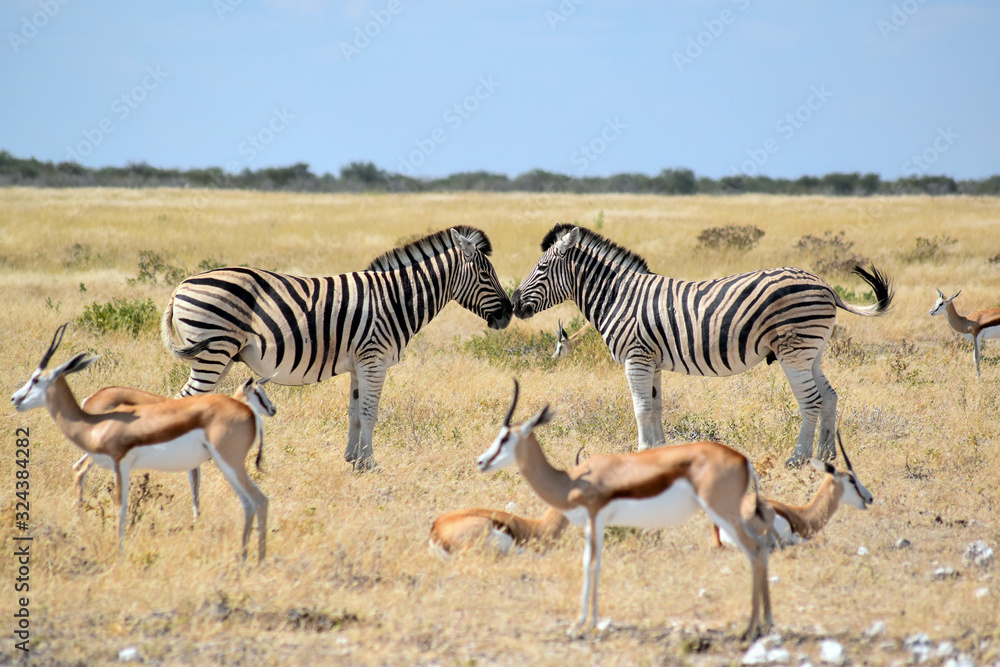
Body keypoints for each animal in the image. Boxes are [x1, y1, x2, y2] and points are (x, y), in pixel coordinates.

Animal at [162, 226, 513, 470]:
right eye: (486, 274)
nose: (509, 313)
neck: (398, 299)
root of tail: (180, 286)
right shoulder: (374, 360)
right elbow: (370, 413)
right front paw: (371, 464)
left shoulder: (360, 364)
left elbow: (355, 413)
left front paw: (354, 460)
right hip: (212, 353)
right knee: (182, 402)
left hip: (221, 358)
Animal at [510, 224, 893, 467]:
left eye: (542, 268)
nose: (513, 305)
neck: (619, 296)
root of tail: (825, 285)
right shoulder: (651, 361)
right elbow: (656, 407)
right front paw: (658, 453)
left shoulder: (636, 358)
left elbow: (641, 408)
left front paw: (641, 452)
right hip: (813, 351)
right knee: (830, 397)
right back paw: (826, 457)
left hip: (794, 350)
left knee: (811, 401)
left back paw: (798, 459)